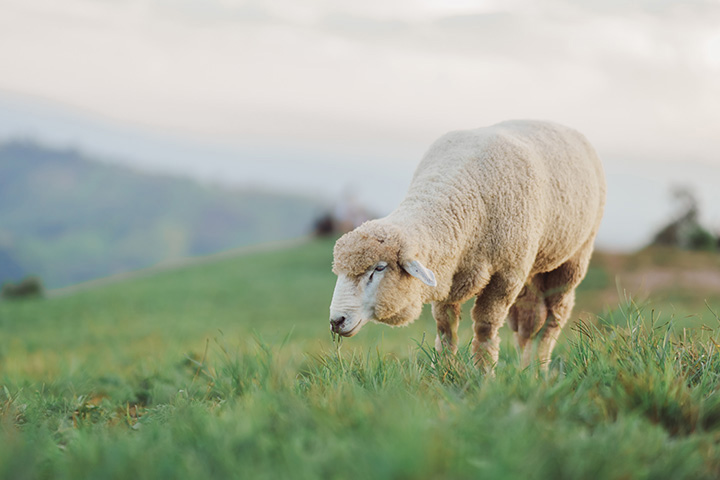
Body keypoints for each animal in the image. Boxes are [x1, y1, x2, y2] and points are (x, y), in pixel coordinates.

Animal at [329, 120, 606, 371]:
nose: (336, 321)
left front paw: (483, 375)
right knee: (528, 320)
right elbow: (445, 329)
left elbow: (485, 328)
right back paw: (526, 369)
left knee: (553, 319)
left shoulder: (506, 276)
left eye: (379, 268)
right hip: (533, 265)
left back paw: (538, 369)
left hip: (572, 260)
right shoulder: (447, 273)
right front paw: (444, 372)